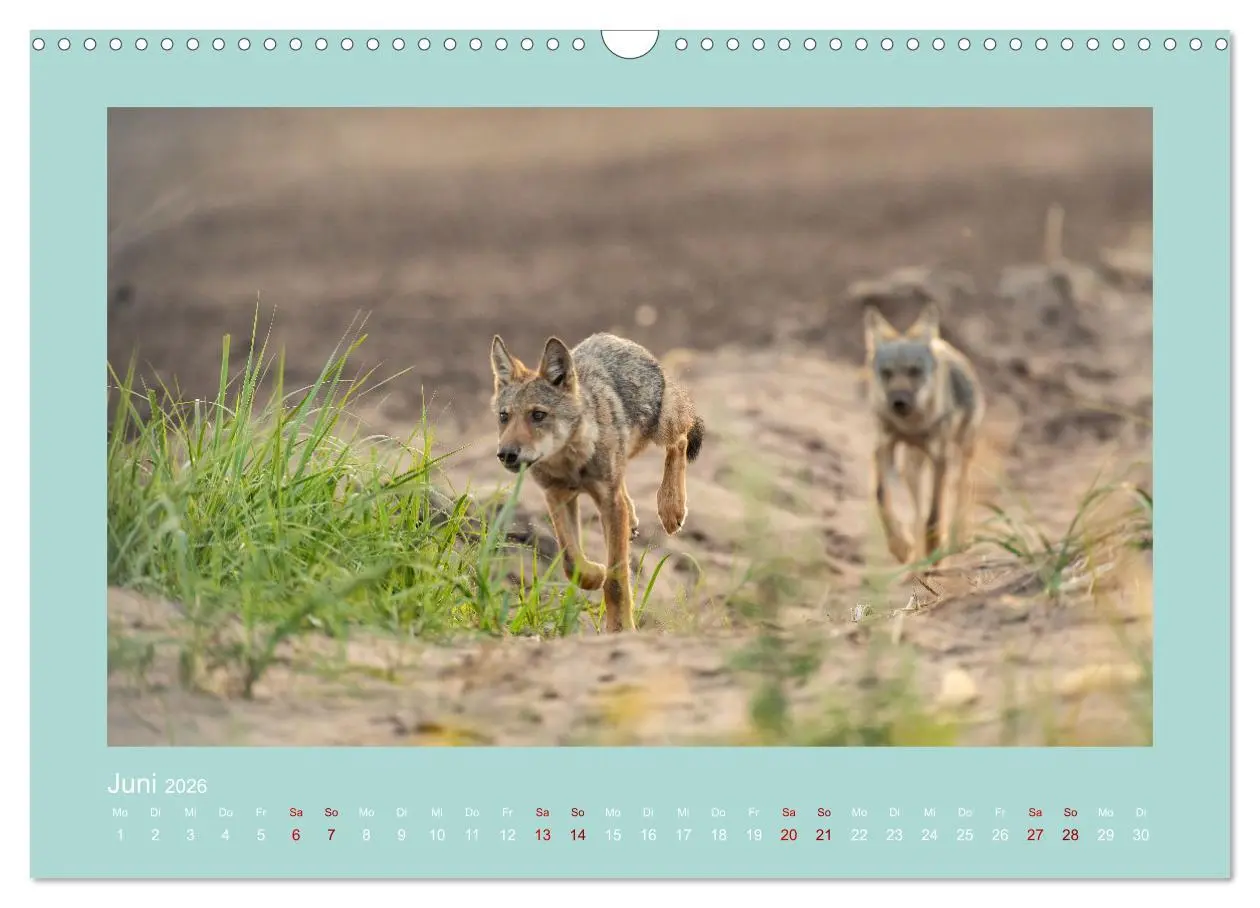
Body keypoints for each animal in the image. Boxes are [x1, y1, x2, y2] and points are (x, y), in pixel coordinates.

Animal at [489, 332, 704, 632]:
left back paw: (671, 507)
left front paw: (621, 627)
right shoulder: (557, 498)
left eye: (538, 415)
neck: (571, 464)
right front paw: (594, 576)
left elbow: (616, 580)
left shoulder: (607, 502)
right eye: (504, 416)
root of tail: (613, 337)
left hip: (660, 429)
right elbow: (572, 564)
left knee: (682, 438)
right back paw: (634, 520)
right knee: (626, 485)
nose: (506, 453)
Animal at [863, 301, 985, 564]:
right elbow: (881, 498)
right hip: (913, 469)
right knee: (917, 512)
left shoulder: (941, 458)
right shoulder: (884, 448)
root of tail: (942, 343)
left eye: (914, 371)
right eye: (887, 373)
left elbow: (935, 513)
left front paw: (935, 551)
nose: (899, 402)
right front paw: (900, 546)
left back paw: (957, 541)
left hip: (962, 452)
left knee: (962, 489)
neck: (912, 427)